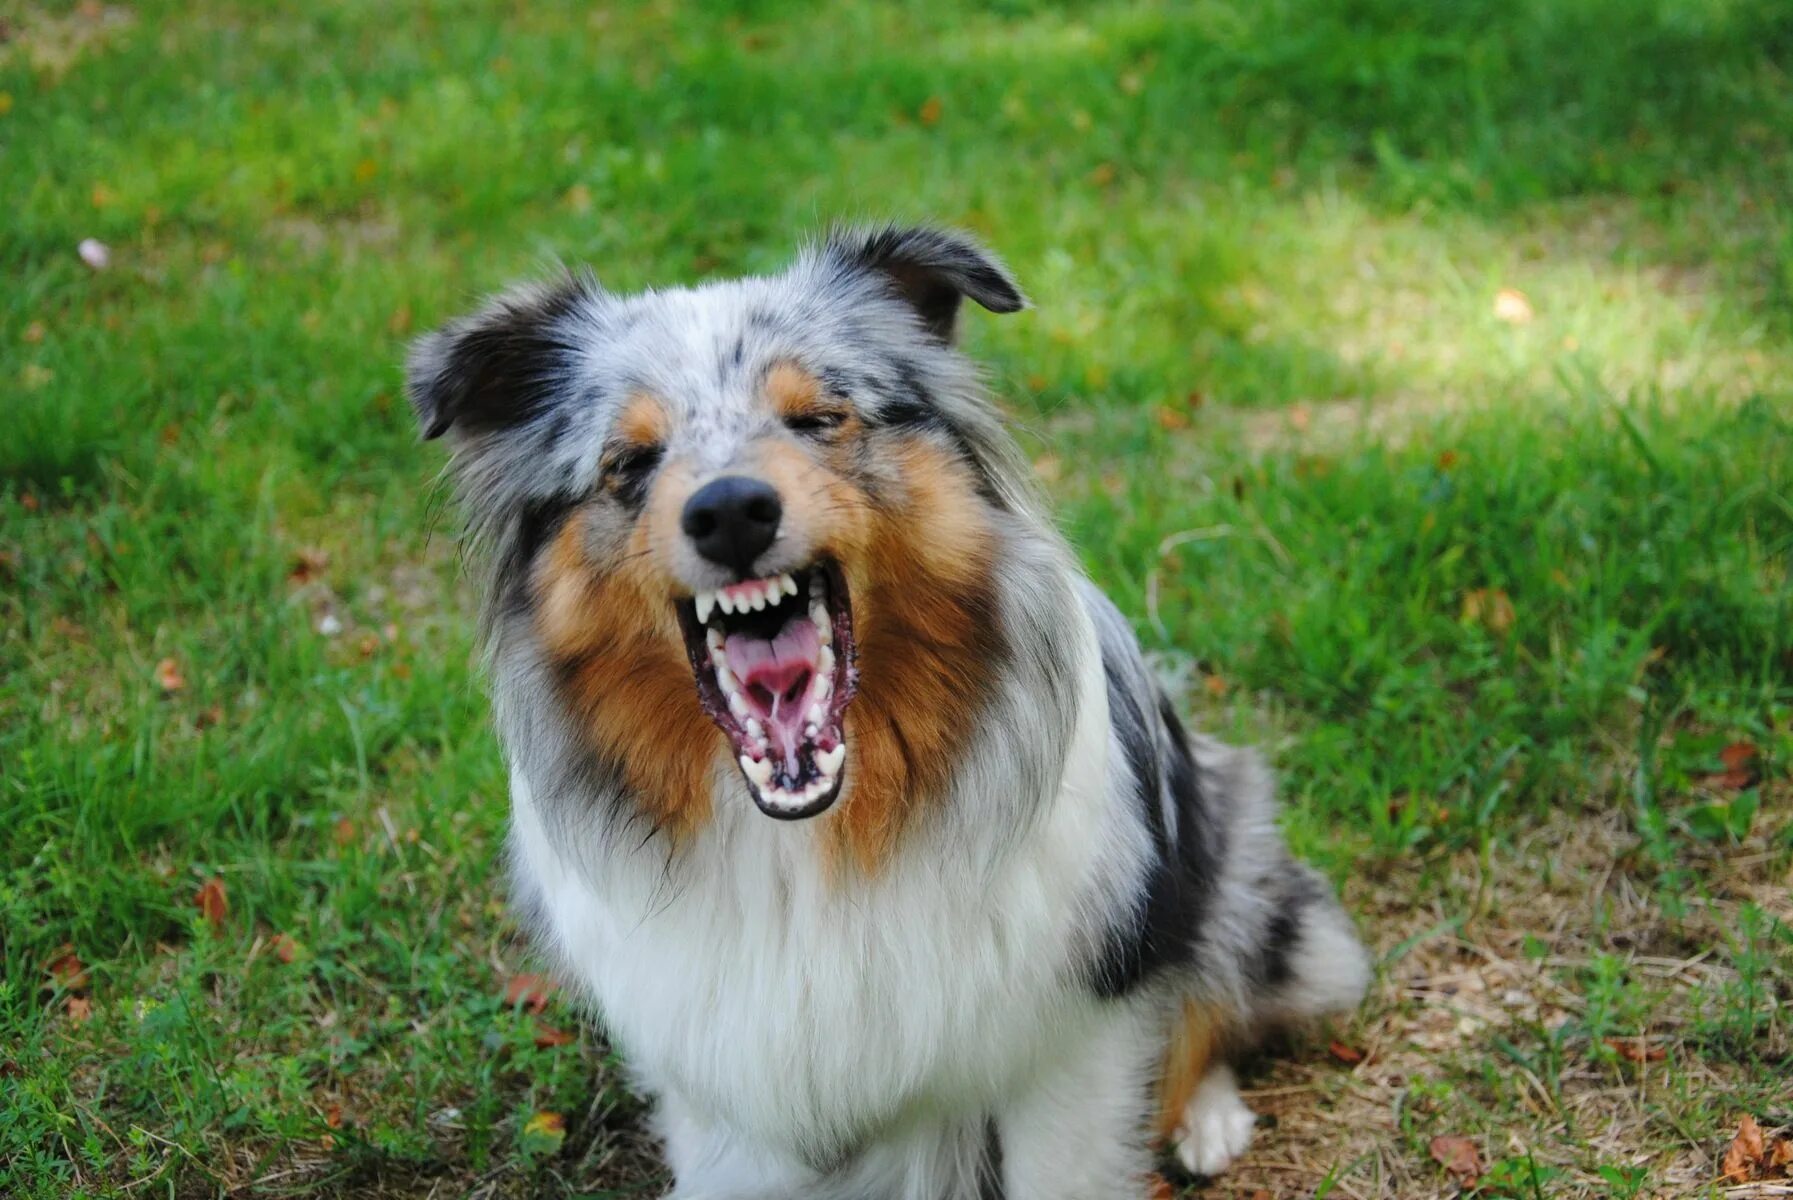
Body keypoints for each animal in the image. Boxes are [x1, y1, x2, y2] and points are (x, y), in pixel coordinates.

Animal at [403, 226, 1355, 1198]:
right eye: (630, 462)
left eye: (819, 418)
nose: (730, 511)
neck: (807, 844)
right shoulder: (723, 1089)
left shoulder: (1068, 1046)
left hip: (1235, 858)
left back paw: (1208, 1121)